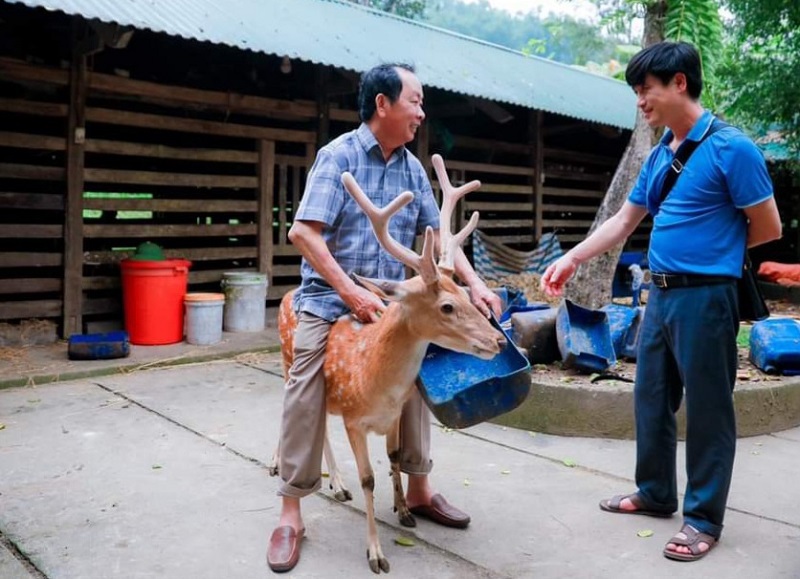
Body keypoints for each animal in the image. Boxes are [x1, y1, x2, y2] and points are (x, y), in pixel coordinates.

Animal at [276, 155, 506, 576]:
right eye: (446, 307)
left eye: (467, 294)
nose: (497, 341)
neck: (375, 383)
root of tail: (287, 295)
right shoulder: (354, 419)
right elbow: (368, 479)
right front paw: (376, 554)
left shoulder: (395, 414)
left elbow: (396, 457)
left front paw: (404, 510)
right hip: (290, 365)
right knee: (292, 416)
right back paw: (293, 475)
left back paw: (337, 484)